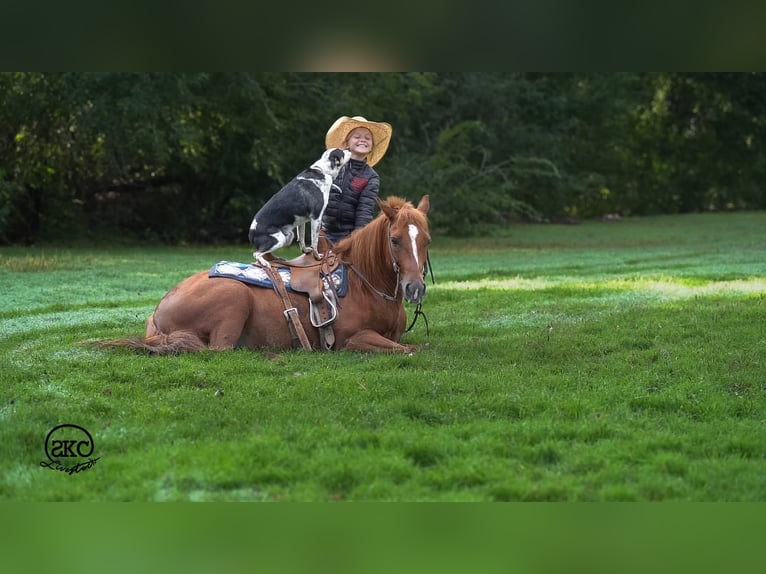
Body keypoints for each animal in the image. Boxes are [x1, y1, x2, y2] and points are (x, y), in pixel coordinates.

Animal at [96, 195, 431, 354]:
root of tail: (158, 311)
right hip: (234, 297)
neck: (366, 286)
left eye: (427, 240)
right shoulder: (354, 340)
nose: (414, 288)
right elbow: (410, 350)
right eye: (395, 240)